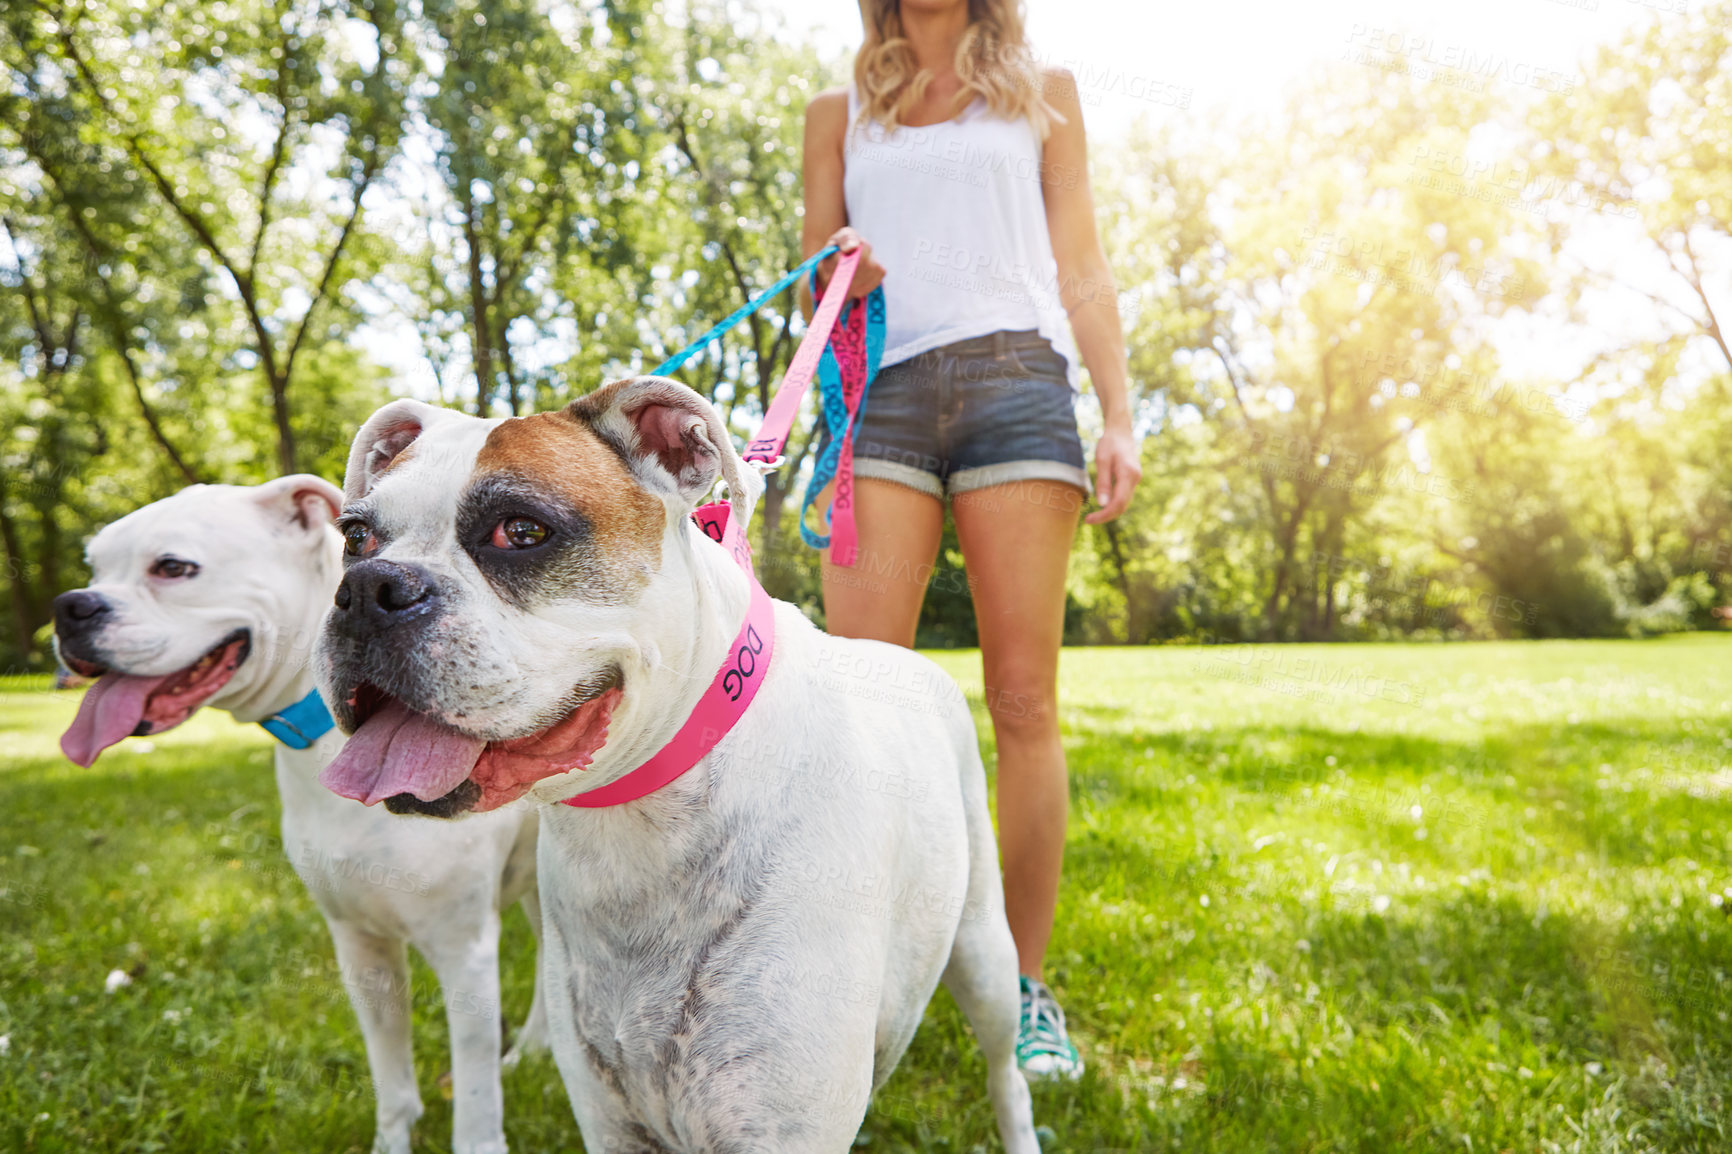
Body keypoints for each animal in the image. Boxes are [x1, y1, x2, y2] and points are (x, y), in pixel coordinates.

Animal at [50, 474, 547, 1150]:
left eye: (173, 567)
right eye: (94, 568)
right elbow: (393, 1082)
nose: (71, 607)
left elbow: (474, 1106)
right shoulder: (361, 947)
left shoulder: (463, 953)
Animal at [315, 379, 1039, 1150]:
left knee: (1005, 1070)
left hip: (986, 953)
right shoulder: (612, 1121)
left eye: (521, 530)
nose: (368, 590)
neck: (634, 819)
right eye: (355, 538)